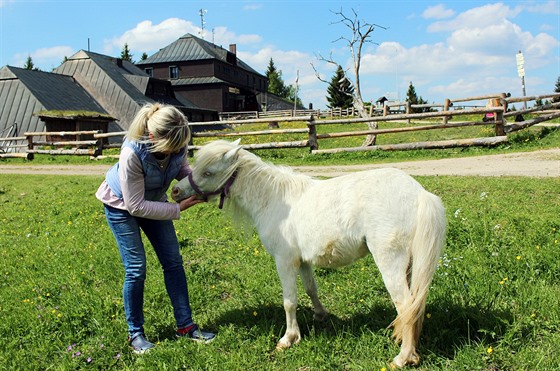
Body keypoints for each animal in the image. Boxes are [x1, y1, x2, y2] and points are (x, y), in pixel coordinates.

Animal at [172, 140, 446, 370]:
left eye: (208, 172)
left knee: (406, 305)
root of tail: (419, 193)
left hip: (390, 261)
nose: (175, 192)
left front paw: (288, 339)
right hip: (409, 265)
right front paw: (321, 316)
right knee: (413, 306)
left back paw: (402, 358)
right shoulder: (302, 261)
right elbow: (311, 289)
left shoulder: (284, 261)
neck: (273, 200)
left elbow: (289, 301)